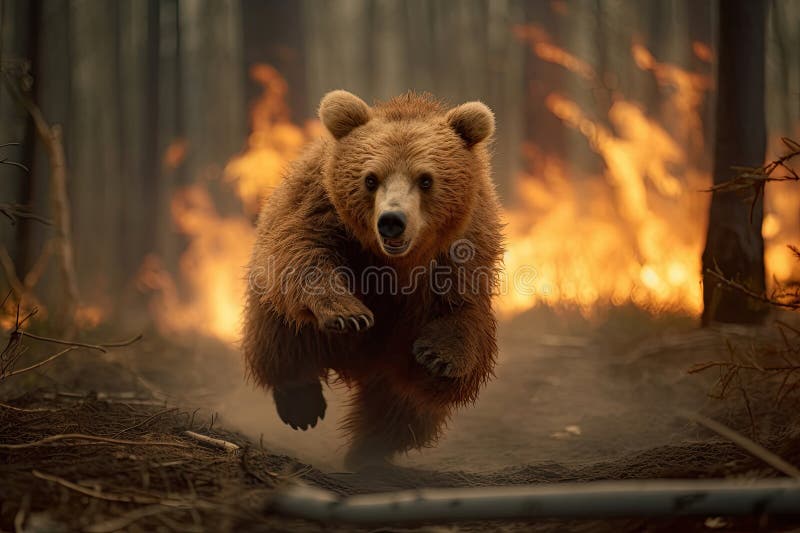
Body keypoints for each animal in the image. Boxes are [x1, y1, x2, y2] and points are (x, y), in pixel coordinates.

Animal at [242, 90, 503, 468]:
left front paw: (437, 356)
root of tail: (360, 365)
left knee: (400, 404)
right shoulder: (321, 209)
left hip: (395, 354)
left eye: (426, 179)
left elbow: (460, 309)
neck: (396, 261)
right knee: (283, 331)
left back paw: (369, 451)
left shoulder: (464, 247)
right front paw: (348, 314)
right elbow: (304, 257)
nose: (392, 220)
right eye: (370, 178)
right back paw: (301, 403)